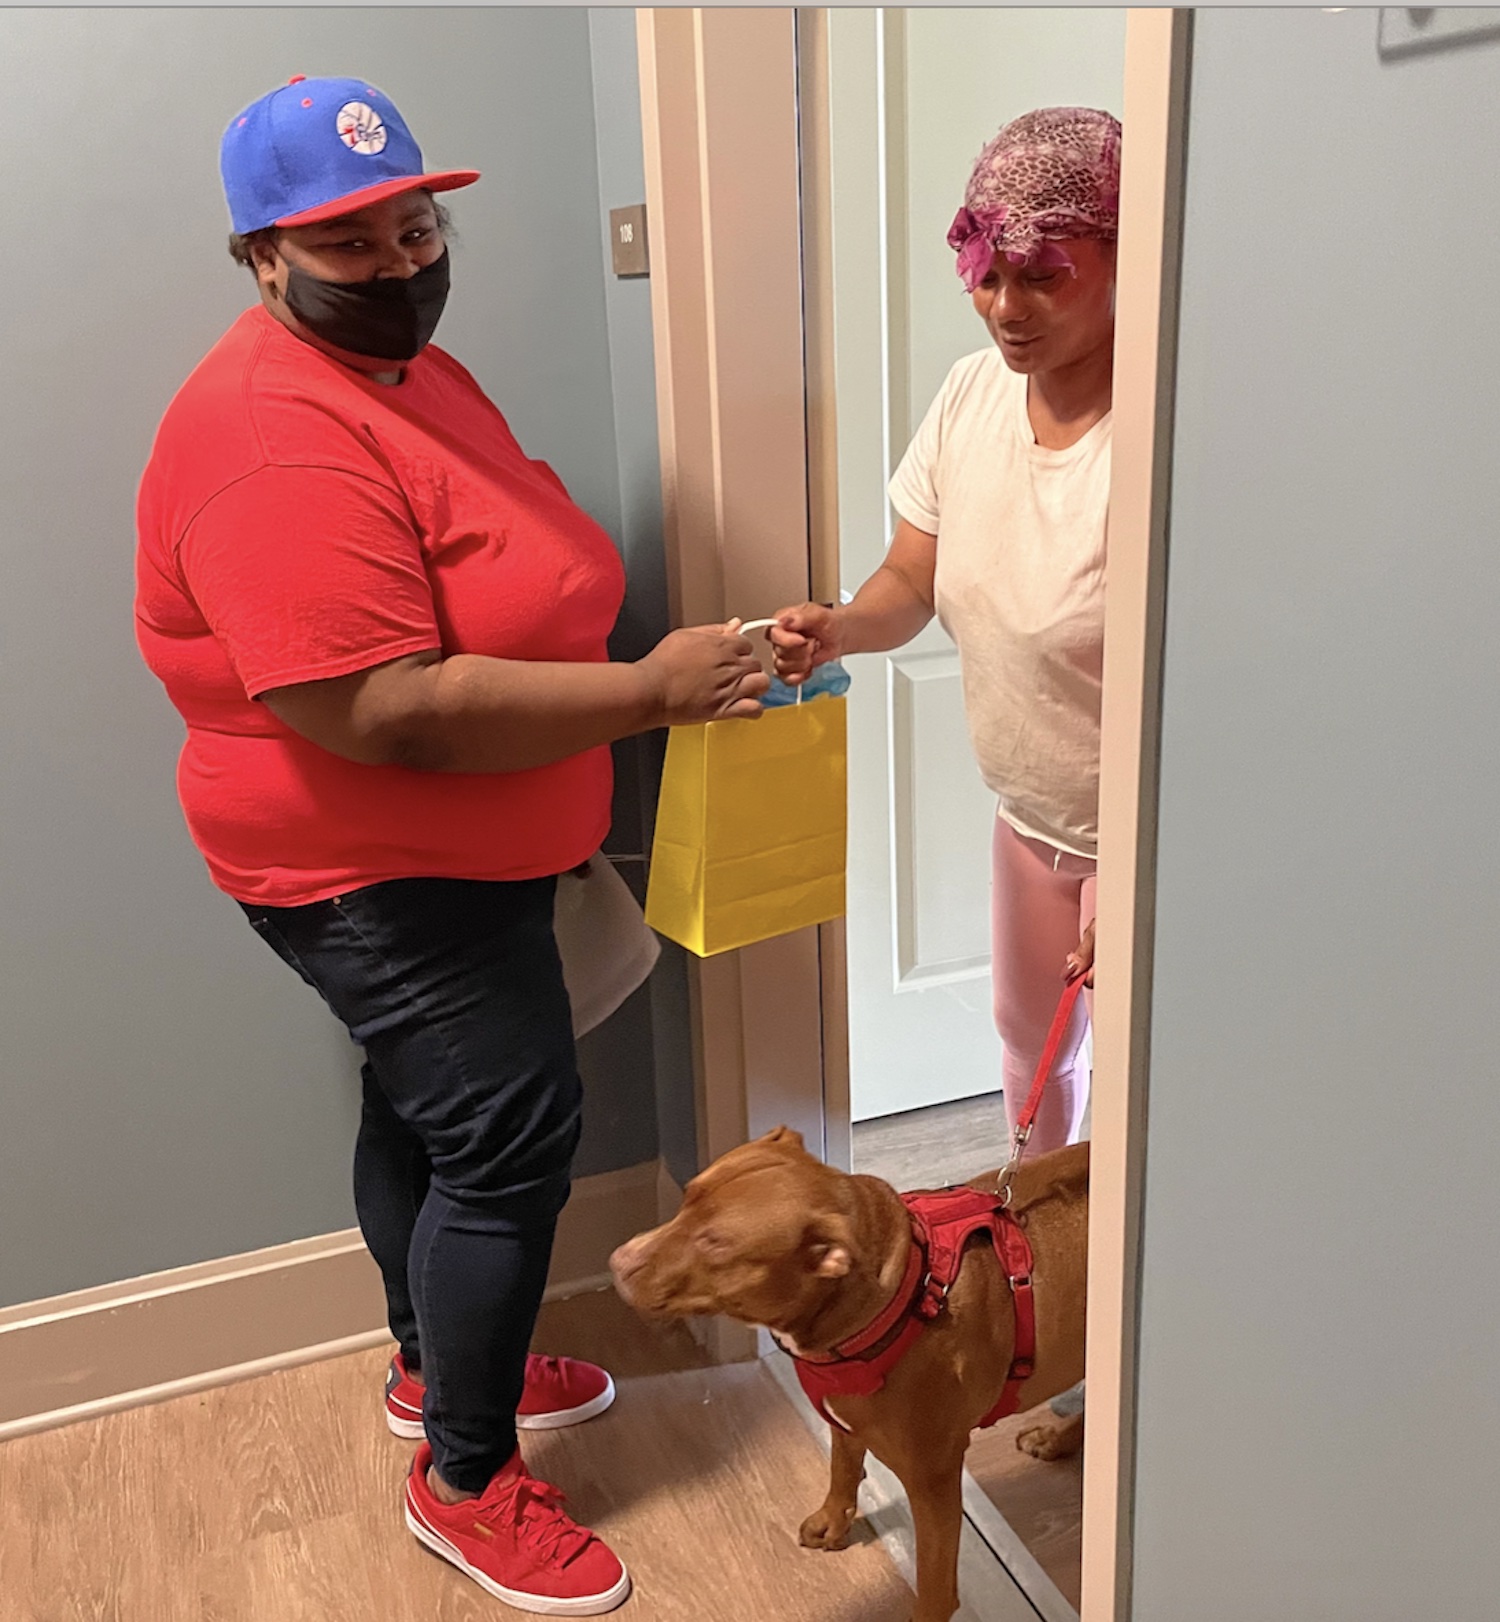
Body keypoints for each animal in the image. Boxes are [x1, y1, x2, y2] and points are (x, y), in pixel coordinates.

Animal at [609, 1128, 1089, 1622]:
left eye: (715, 1243)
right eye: (688, 1196)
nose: (618, 1262)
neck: (905, 1297)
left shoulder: (934, 1482)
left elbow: (934, 1583)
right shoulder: (842, 1412)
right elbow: (842, 1465)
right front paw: (832, 1519)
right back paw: (1057, 1439)